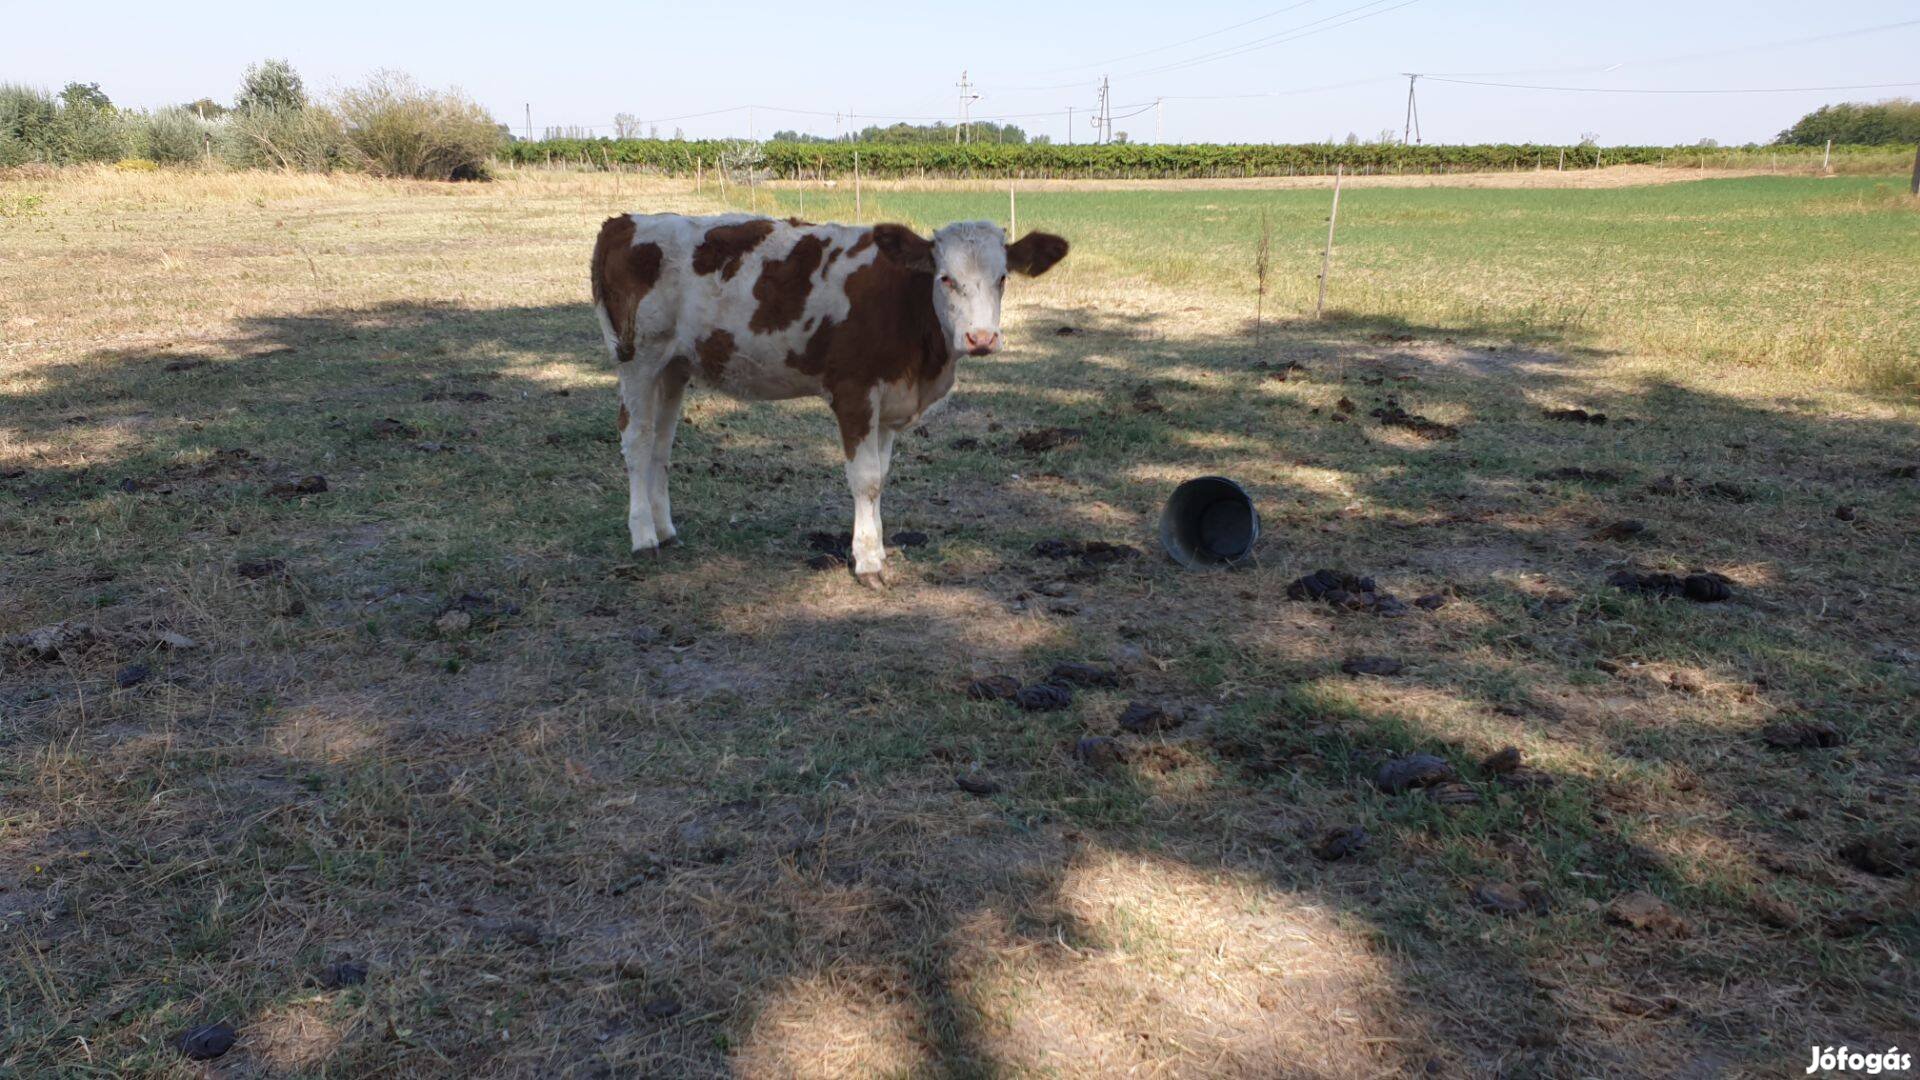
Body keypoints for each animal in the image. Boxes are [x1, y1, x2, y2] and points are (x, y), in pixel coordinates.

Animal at [587, 213, 1067, 584]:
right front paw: (869, 561)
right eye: (945, 278)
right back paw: (643, 537)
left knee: (661, 444)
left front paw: (876, 546)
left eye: (1002, 278)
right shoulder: (853, 392)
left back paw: (665, 528)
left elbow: (881, 476)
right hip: (638, 357)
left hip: (674, 366)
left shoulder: (890, 403)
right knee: (637, 442)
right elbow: (865, 478)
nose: (981, 338)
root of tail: (624, 222)